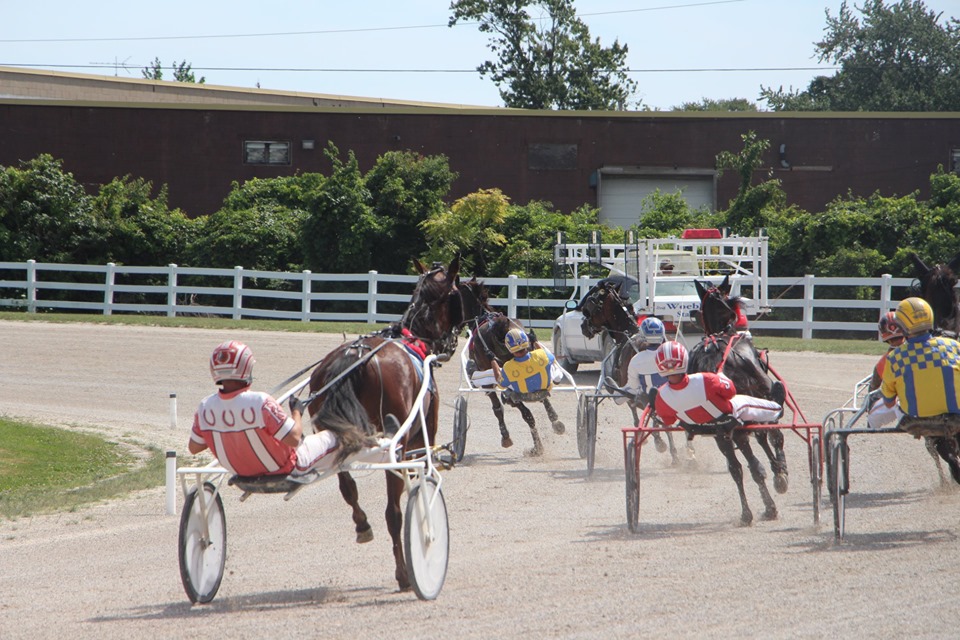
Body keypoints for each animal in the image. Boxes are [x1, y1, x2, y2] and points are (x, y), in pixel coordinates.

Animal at [304, 256, 462, 596]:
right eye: (457, 292)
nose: (452, 340)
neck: (412, 337)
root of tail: (355, 356)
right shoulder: (421, 433)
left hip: (332, 435)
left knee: (347, 486)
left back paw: (362, 524)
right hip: (395, 445)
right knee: (393, 514)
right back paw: (404, 574)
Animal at [460, 278, 568, 458]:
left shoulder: (488, 383)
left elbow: (497, 408)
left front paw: (505, 437)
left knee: (526, 413)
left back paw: (537, 445)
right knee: (540, 398)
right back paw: (554, 424)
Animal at [576, 280, 684, 464]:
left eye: (591, 303)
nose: (583, 326)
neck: (628, 334)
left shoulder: (628, 389)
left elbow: (636, 412)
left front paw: (654, 440)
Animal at [688, 278, 792, 524]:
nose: (693, 315)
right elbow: (771, 438)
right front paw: (780, 472)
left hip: (722, 431)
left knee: (740, 468)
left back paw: (751, 511)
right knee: (762, 451)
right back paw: (771, 498)